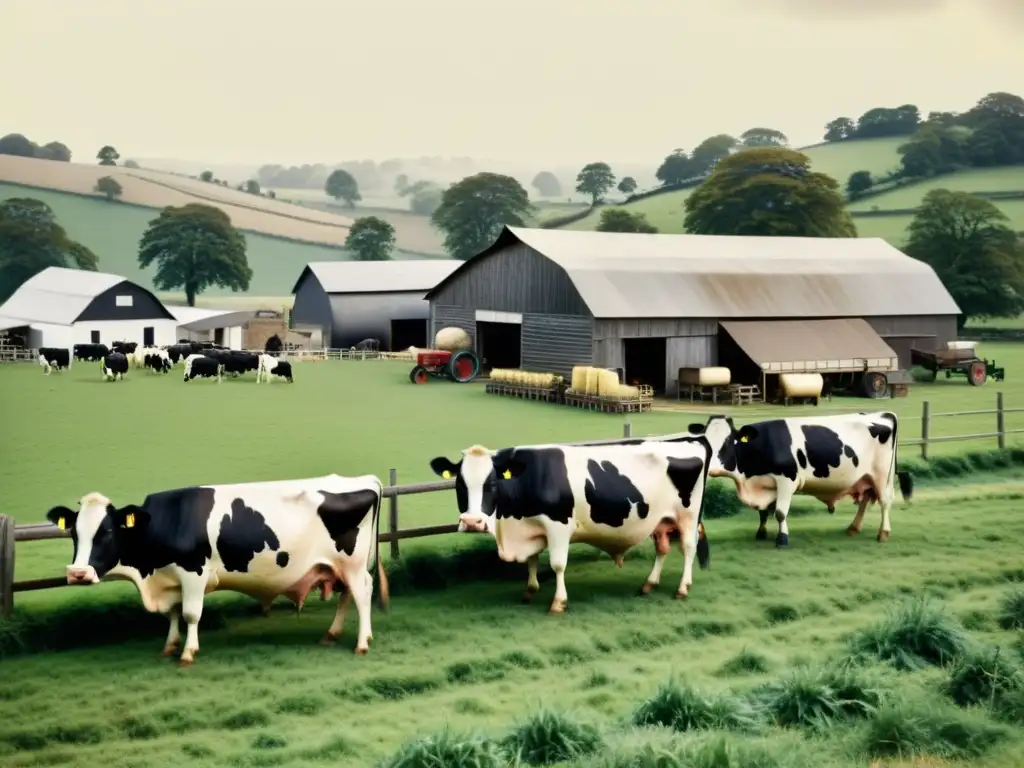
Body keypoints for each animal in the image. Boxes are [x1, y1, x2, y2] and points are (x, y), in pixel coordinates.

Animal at [44, 473, 389, 663]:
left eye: (107, 532)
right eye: (74, 533)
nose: (77, 573)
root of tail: (365, 481)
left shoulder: (193, 573)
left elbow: (190, 614)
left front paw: (188, 652)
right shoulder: (172, 578)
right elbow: (173, 613)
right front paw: (169, 645)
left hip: (352, 564)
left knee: (362, 594)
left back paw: (362, 643)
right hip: (339, 567)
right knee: (347, 596)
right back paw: (332, 634)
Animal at [428, 438, 708, 614]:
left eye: (492, 483)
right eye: (460, 484)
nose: (472, 522)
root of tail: (691, 442)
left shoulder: (558, 526)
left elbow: (558, 565)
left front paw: (558, 603)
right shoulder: (533, 528)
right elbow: (532, 559)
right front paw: (530, 590)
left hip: (688, 515)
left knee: (688, 548)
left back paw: (682, 589)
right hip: (661, 520)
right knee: (663, 549)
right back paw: (649, 584)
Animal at [692, 415, 917, 548]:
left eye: (729, 441)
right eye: (705, 440)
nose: (710, 466)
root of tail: (883, 414)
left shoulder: (786, 480)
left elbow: (780, 512)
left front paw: (782, 539)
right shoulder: (767, 485)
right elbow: (764, 512)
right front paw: (761, 532)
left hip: (882, 475)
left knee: (885, 501)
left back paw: (883, 533)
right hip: (865, 477)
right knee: (866, 499)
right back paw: (853, 528)